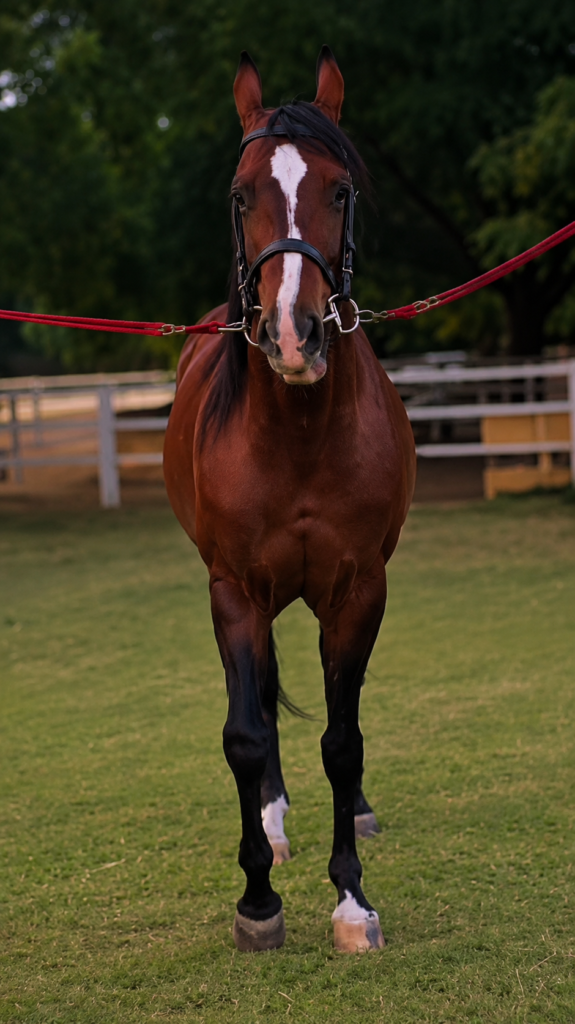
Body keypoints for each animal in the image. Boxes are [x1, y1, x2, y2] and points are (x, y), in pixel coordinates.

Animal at [163, 46, 416, 953]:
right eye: (242, 195)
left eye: (340, 191)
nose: (291, 334)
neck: (298, 434)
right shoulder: (234, 589)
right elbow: (246, 732)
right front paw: (258, 900)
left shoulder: (358, 590)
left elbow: (344, 740)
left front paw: (351, 901)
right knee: (265, 700)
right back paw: (270, 824)